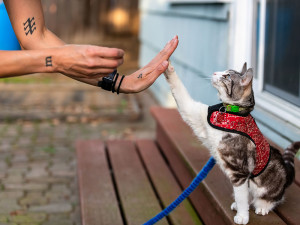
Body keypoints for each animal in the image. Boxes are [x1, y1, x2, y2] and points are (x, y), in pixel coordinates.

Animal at [164, 62, 300, 225]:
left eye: (227, 76)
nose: (215, 72)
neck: (230, 112)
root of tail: (286, 171)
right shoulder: (197, 117)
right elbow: (183, 98)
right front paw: (167, 67)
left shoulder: (239, 171)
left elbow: (241, 196)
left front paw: (242, 216)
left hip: (265, 186)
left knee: (274, 198)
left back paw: (262, 206)